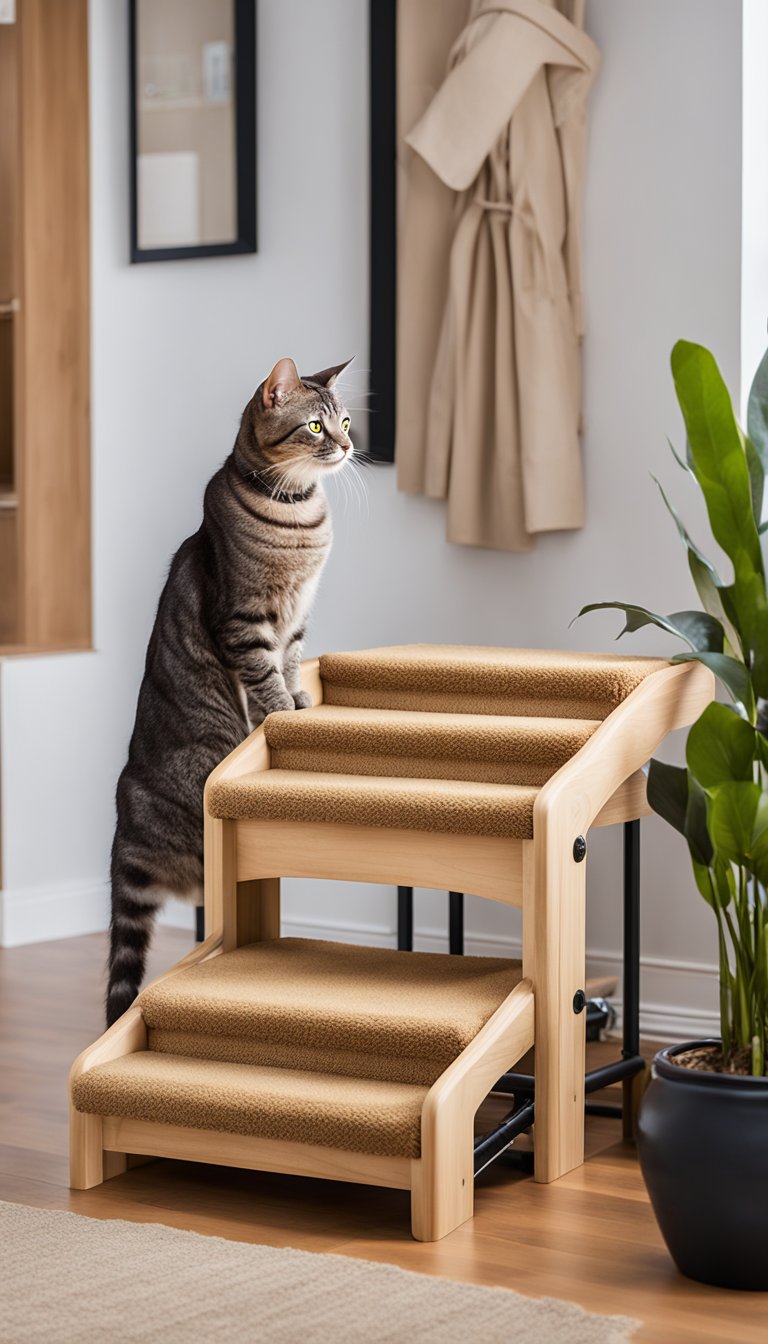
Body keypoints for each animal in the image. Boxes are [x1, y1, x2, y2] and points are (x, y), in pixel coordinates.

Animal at [104, 352, 352, 1021]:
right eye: (315, 427)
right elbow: (265, 676)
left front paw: (300, 700)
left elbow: (291, 663)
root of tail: (124, 831)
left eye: (345, 419)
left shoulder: (296, 620)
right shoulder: (243, 620)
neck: (300, 517)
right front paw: (281, 712)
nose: (349, 444)